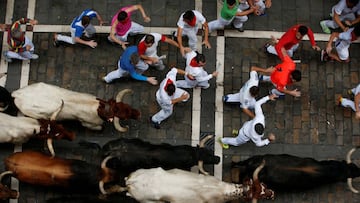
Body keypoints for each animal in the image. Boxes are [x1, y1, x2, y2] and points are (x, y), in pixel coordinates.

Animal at [11, 82, 141, 132]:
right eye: (123, 117)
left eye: (127, 106)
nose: (139, 114)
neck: (97, 108)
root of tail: (17, 94)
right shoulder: (89, 124)